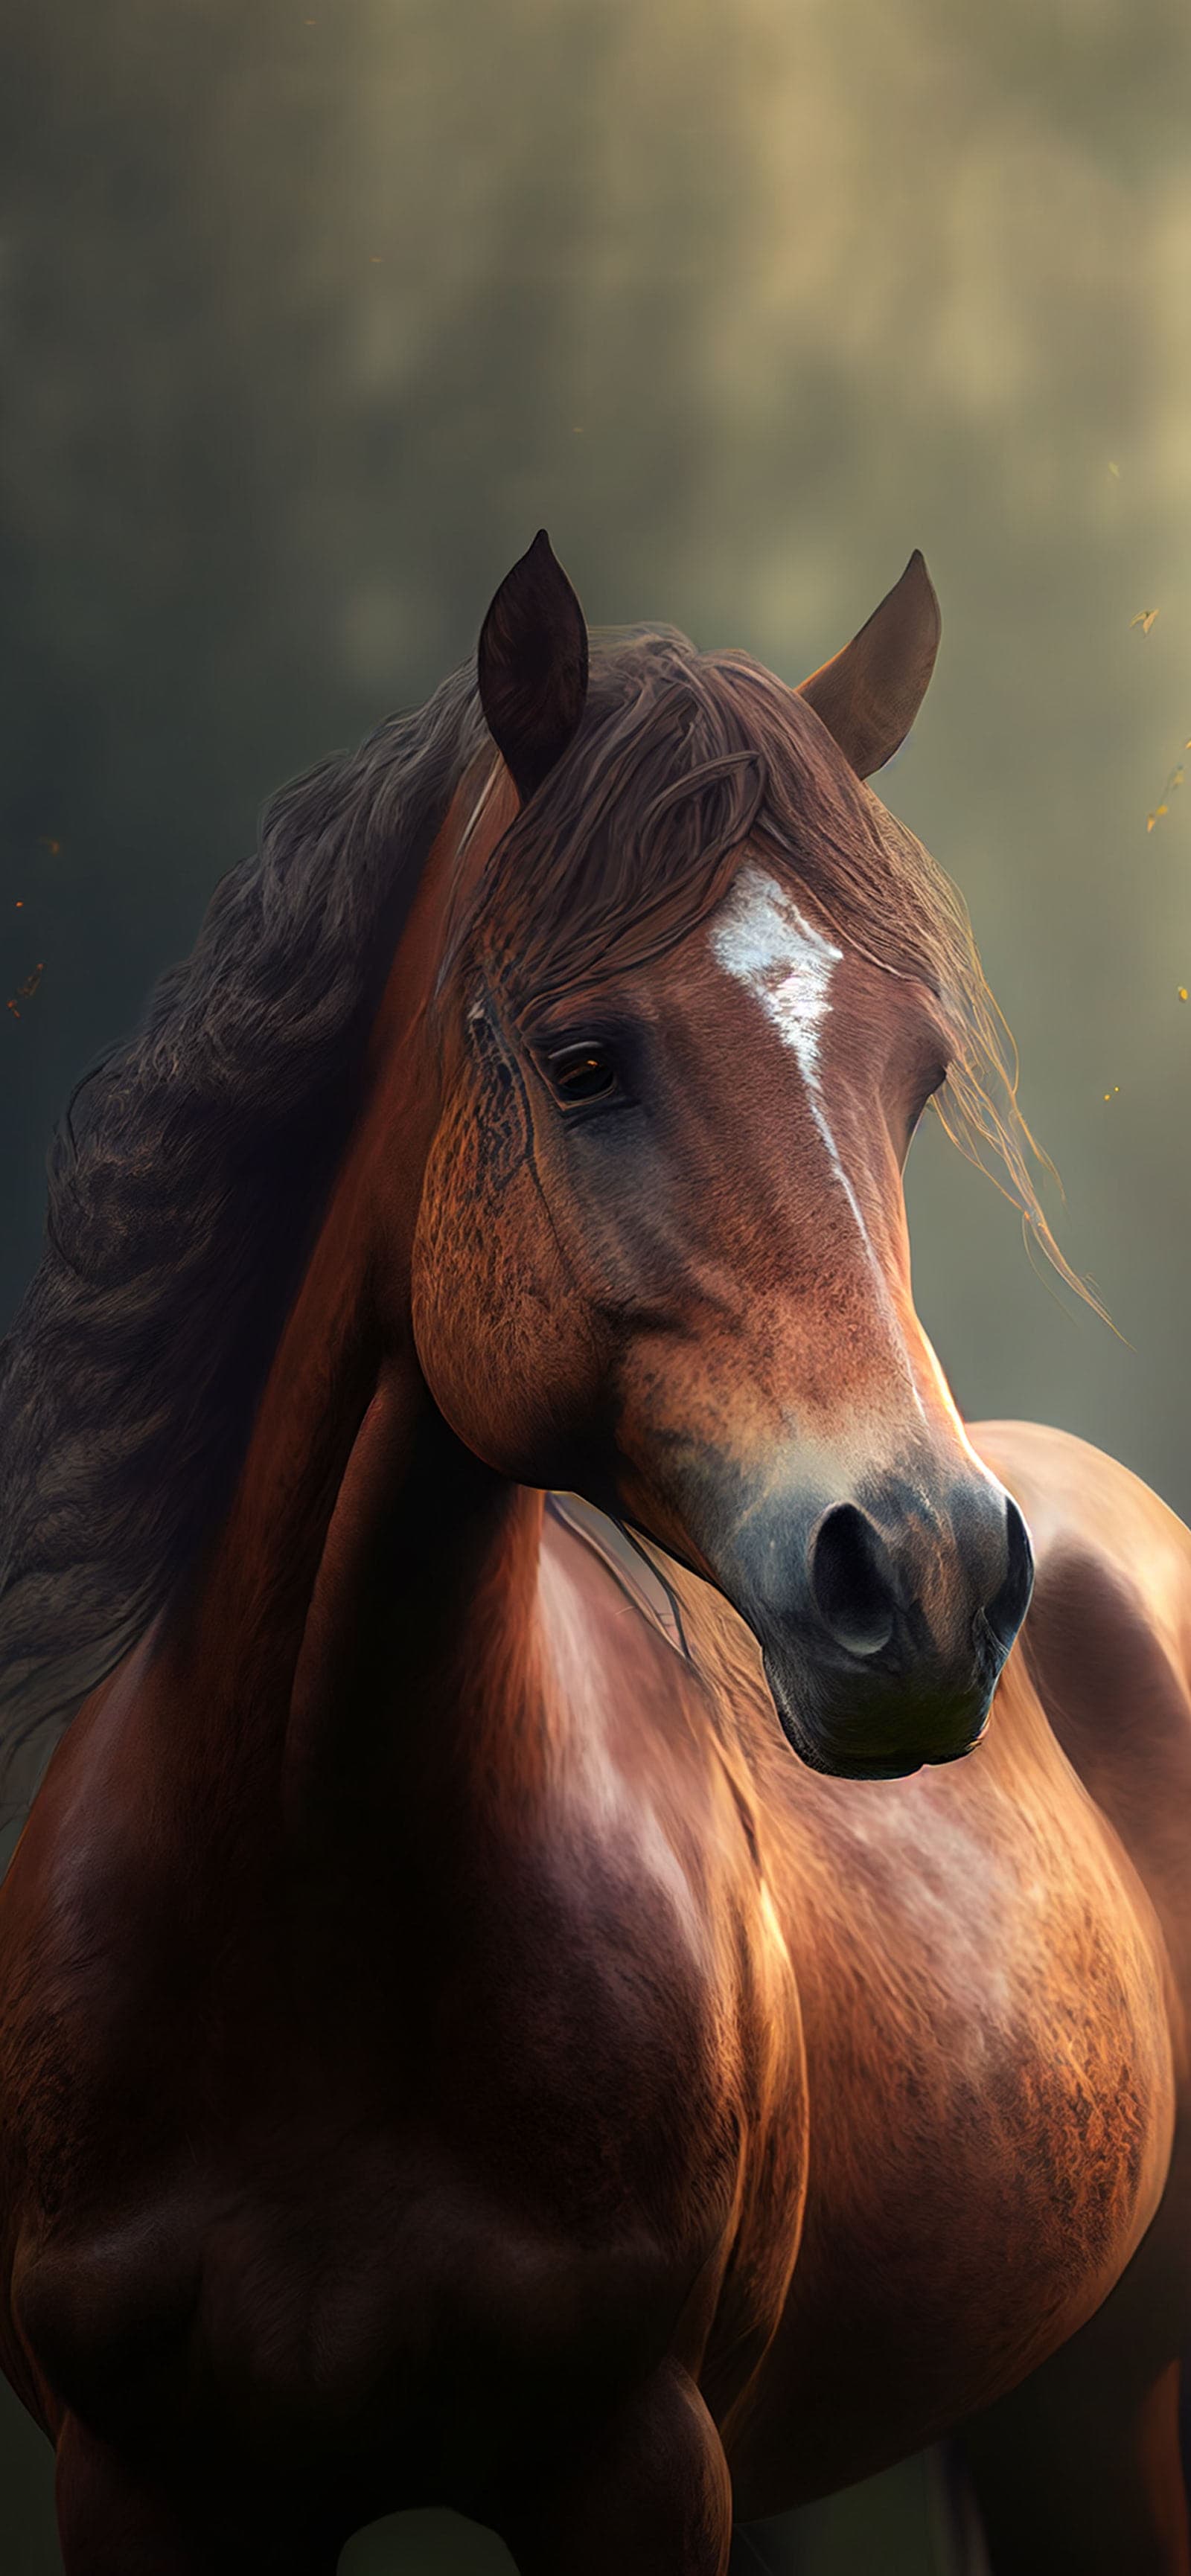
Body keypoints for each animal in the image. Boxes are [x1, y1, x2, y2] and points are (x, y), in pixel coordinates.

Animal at [0, 530, 1188, 2576]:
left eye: (915, 1077)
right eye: (579, 1063)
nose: (931, 1574)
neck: (305, 1906)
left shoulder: (635, 2464)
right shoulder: (141, 2481)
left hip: (1100, 2413)